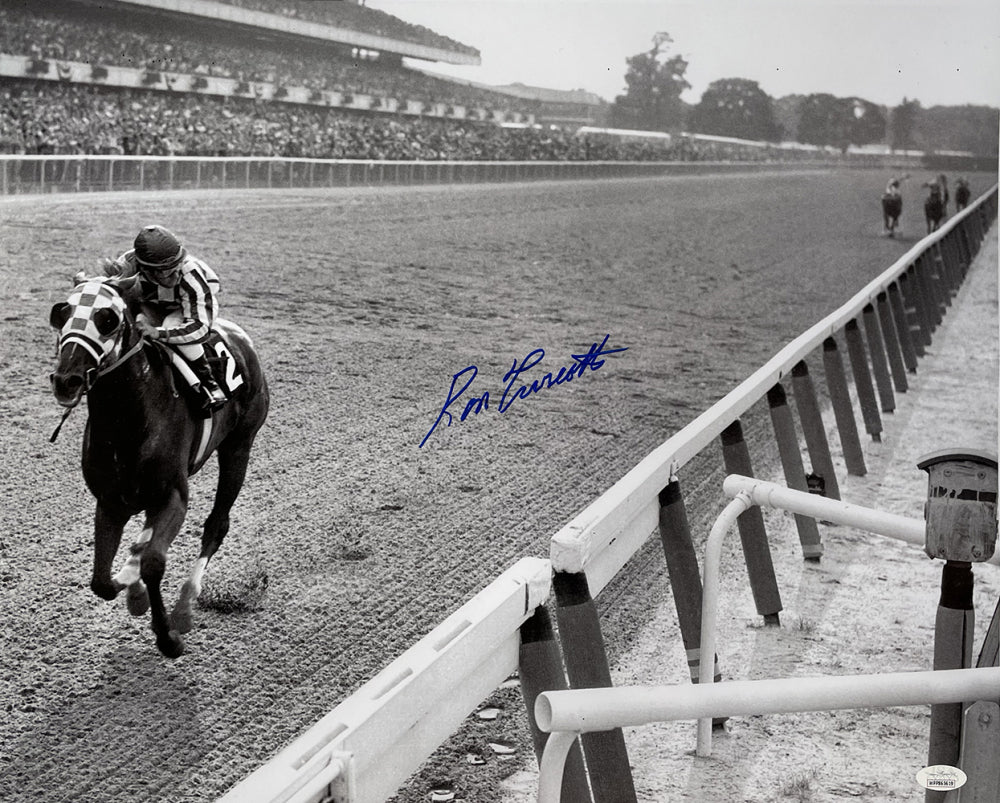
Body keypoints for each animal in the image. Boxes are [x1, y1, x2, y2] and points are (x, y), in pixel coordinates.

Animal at [49, 280, 270, 656]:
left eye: (107, 319)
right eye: (63, 314)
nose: (67, 380)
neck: (127, 422)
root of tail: (242, 338)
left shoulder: (173, 496)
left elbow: (154, 562)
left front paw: (168, 636)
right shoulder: (110, 502)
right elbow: (101, 581)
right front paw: (132, 588)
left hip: (239, 448)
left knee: (216, 525)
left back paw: (183, 608)